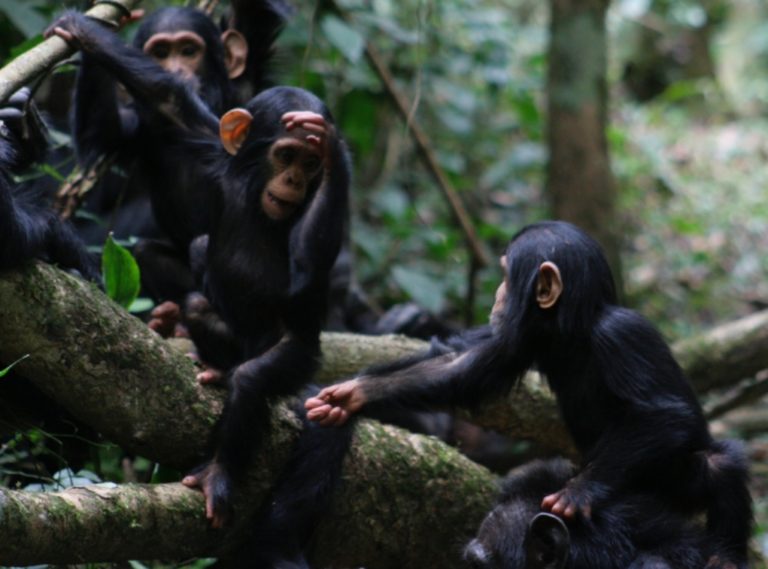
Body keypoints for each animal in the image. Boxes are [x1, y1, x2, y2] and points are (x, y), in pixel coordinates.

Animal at [304, 221, 752, 568]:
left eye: (506, 275)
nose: (498, 296)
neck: (574, 330)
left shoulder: (623, 335)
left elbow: (663, 413)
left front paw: (577, 491)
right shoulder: (521, 339)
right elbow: (461, 369)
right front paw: (353, 394)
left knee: (719, 465)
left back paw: (725, 555)